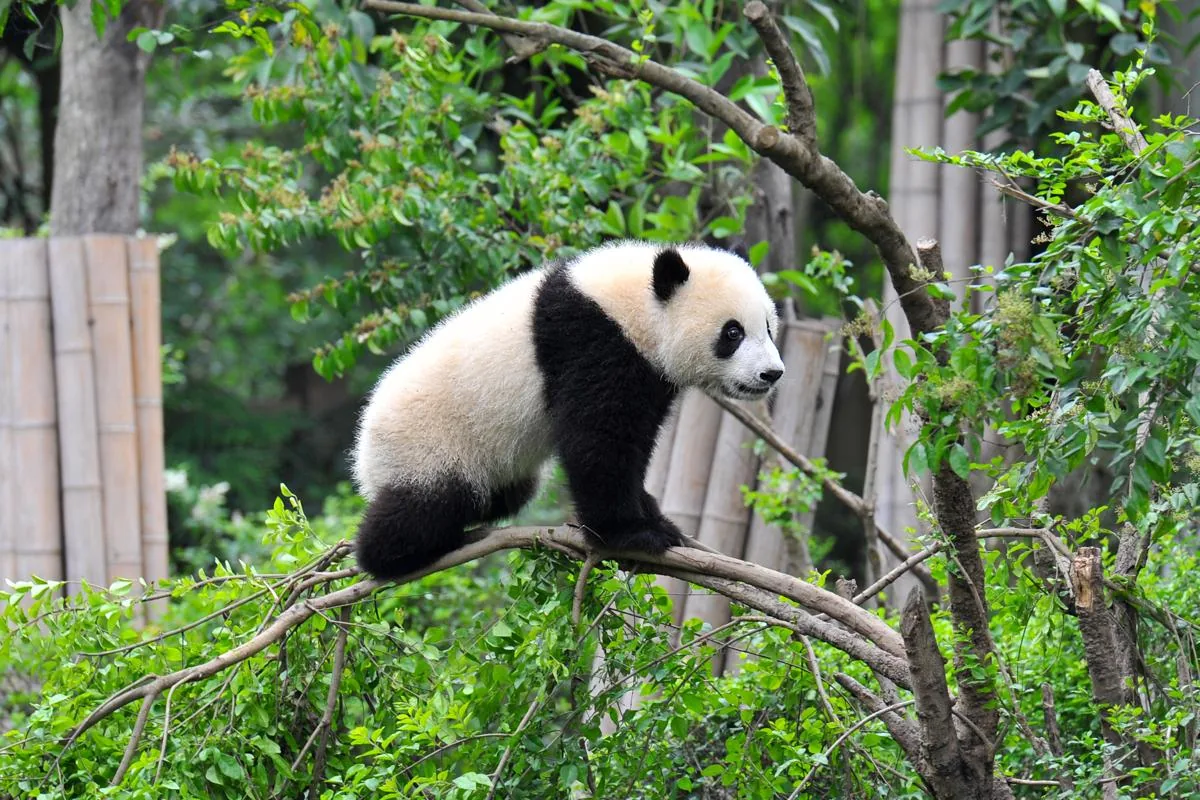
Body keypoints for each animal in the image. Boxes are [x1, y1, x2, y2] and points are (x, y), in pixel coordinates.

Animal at [351, 240, 785, 580]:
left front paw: (652, 514)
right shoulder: (592, 342)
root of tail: (364, 453)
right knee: (424, 507)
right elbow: (598, 439)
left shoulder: (648, 371)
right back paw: (394, 554)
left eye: (768, 327)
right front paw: (632, 533)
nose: (771, 373)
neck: (636, 305)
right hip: (432, 443)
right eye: (732, 332)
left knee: (506, 494)